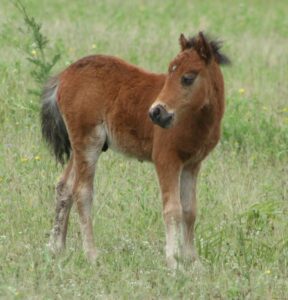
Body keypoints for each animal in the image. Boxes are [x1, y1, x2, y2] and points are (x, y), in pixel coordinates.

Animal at [41, 32, 230, 268]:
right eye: (169, 73)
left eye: (187, 78)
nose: (156, 113)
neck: (196, 119)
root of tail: (65, 74)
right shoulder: (166, 159)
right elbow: (172, 209)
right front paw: (173, 261)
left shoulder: (192, 164)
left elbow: (189, 210)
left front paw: (193, 262)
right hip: (89, 141)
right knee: (82, 192)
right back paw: (91, 255)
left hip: (79, 146)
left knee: (64, 186)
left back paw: (56, 248)